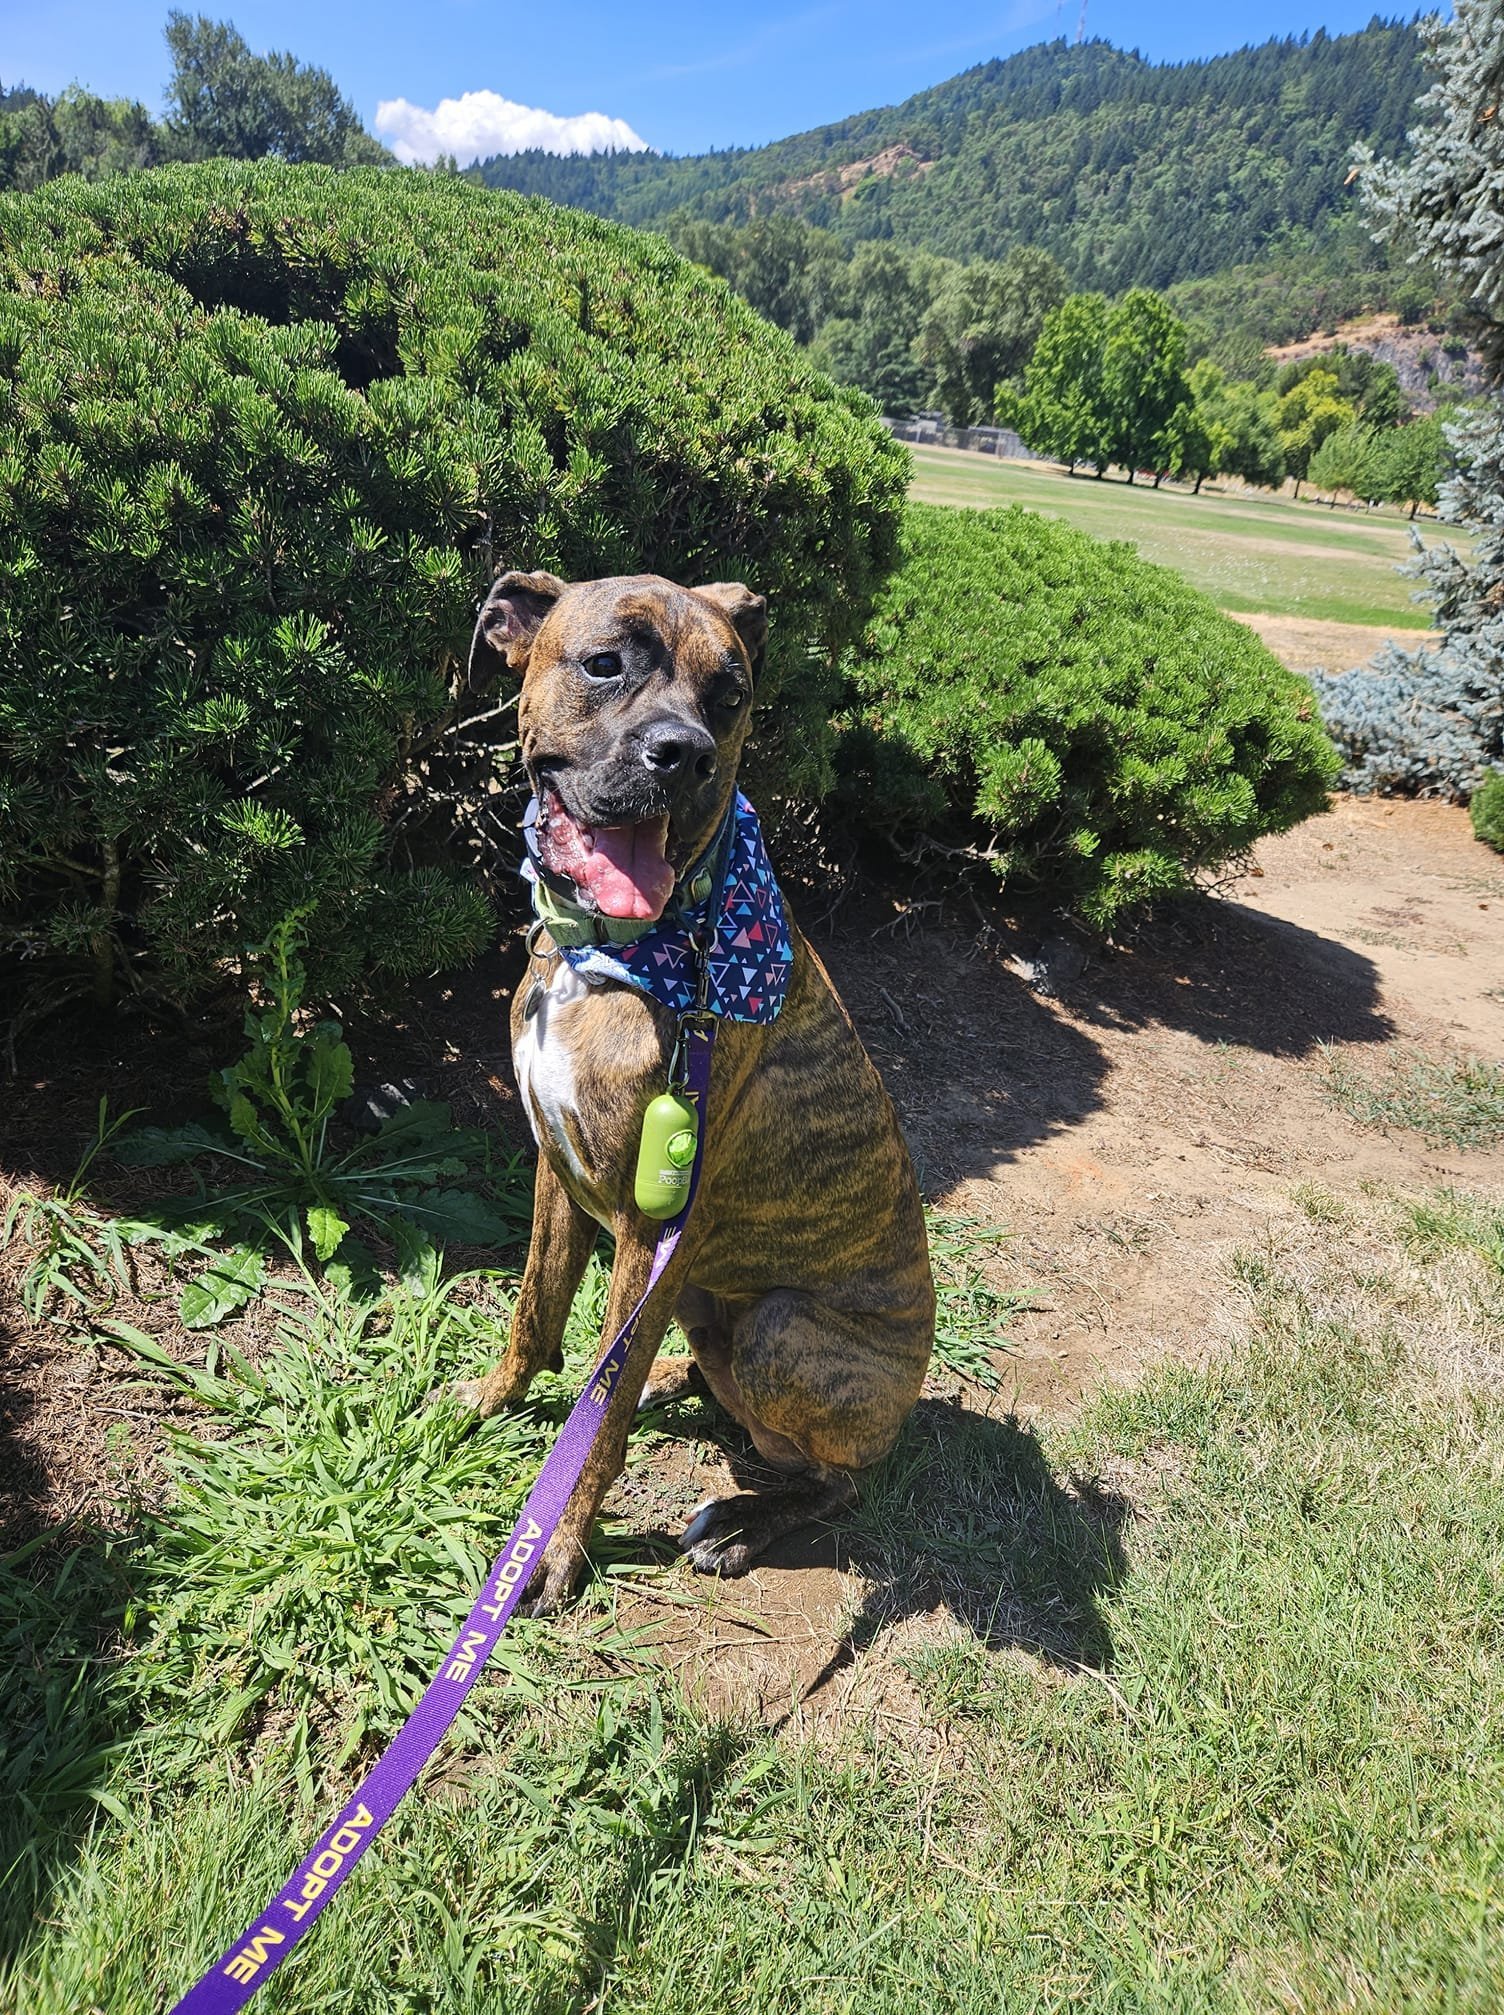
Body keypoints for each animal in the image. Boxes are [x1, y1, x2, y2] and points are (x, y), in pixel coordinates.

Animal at [457, 576, 931, 1612]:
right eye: (605, 663)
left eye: (730, 694)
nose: (685, 754)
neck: (612, 955)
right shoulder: (558, 1172)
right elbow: (535, 1313)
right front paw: (492, 1399)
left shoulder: (649, 1232)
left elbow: (598, 1422)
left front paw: (555, 1548)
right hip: (704, 1299)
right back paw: (678, 1376)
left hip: (779, 1326)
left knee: (836, 1476)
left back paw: (742, 1522)